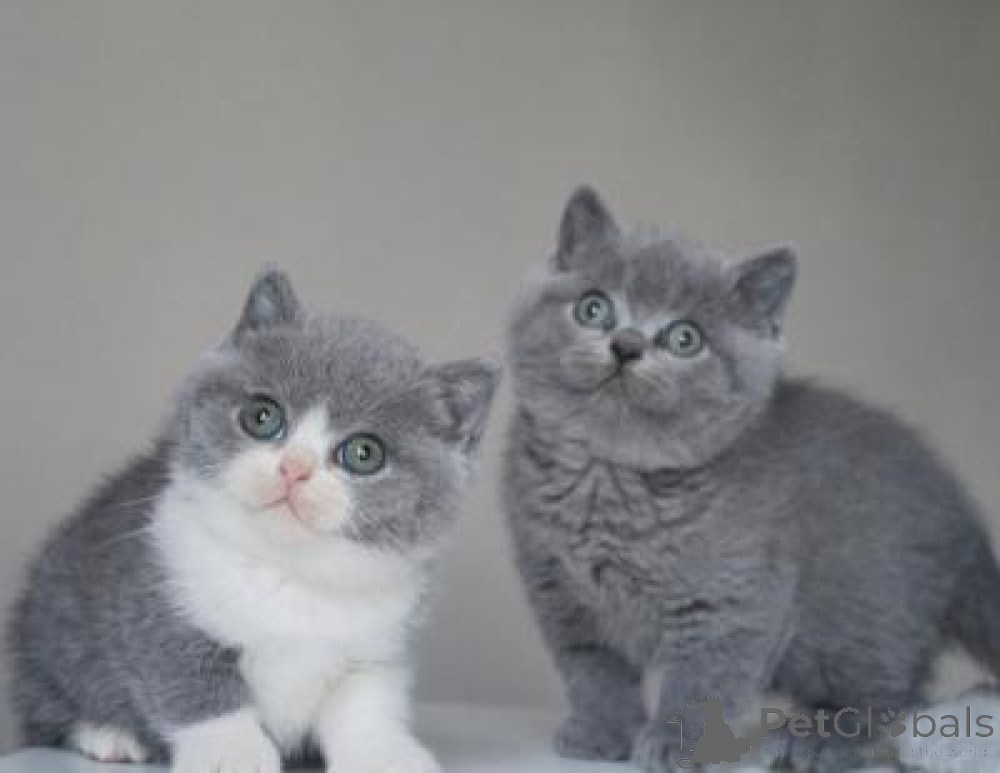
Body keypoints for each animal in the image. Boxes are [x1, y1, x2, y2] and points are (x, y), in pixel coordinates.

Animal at [8, 269, 499, 773]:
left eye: (364, 454)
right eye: (262, 417)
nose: (294, 468)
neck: (290, 573)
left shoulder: (378, 646)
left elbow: (366, 702)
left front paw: (384, 753)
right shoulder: (162, 600)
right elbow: (194, 684)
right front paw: (231, 752)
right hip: (49, 628)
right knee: (48, 704)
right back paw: (109, 735)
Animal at [504, 187, 1000, 772]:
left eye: (685, 338)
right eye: (593, 307)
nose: (625, 344)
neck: (611, 478)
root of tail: (963, 523)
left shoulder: (733, 601)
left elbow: (702, 681)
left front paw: (673, 744)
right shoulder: (559, 592)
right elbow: (593, 670)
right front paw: (601, 733)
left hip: (864, 614)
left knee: (891, 692)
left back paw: (823, 740)